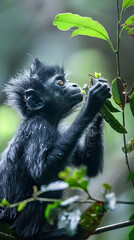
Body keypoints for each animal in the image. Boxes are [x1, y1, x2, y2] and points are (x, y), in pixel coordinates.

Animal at [0, 57, 111, 239]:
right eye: (60, 82)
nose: (74, 85)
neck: (50, 119)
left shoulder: (61, 131)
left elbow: (90, 166)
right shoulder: (38, 127)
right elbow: (42, 172)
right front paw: (92, 103)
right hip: (10, 216)